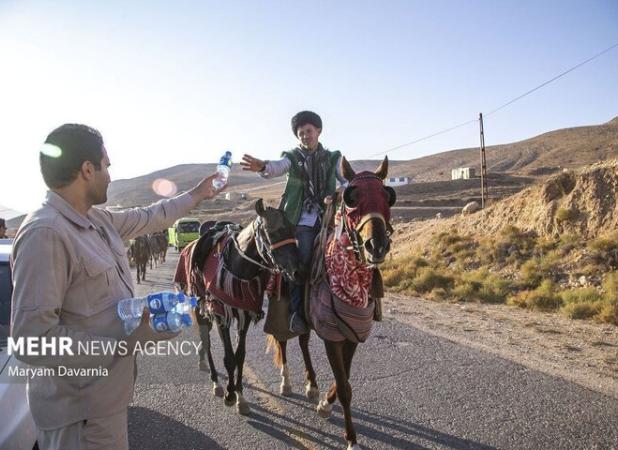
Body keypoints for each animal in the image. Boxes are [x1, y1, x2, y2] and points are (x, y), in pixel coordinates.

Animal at [174, 200, 300, 414]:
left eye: (292, 227)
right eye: (272, 231)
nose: (297, 270)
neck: (237, 266)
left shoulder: (245, 316)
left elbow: (239, 356)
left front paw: (240, 397)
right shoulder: (220, 315)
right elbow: (229, 358)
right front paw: (230, 395)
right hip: (200, 308)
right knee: (206, 341)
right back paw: (216, 383)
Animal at [266, 156, 394, 448]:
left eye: (387, 196)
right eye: (352, 198)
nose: (376, 246)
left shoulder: (352, 334)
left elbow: (344, 377)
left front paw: (325, 403)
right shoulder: (332, 336)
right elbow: (345, 387)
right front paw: (351, 439)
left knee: (303, 341)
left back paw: (312, 386)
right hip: (280, 310)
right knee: (282, 341)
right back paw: (286, 383)